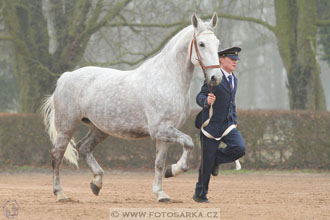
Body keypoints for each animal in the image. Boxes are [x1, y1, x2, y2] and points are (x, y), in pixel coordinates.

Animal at [42, 12, 222, 202]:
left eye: (217, 43)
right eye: (201, 44)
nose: (216, 77)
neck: (167, 79)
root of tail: (66, 77)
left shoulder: (165, 134)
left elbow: (159, 163)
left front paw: (160, 193)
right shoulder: (160, 130)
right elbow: (188, 143)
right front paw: (173, 170)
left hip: (100, 129)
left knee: (83, 148)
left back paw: (96, 183)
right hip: (66, 127)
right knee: (57, 155)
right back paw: (60, 193)